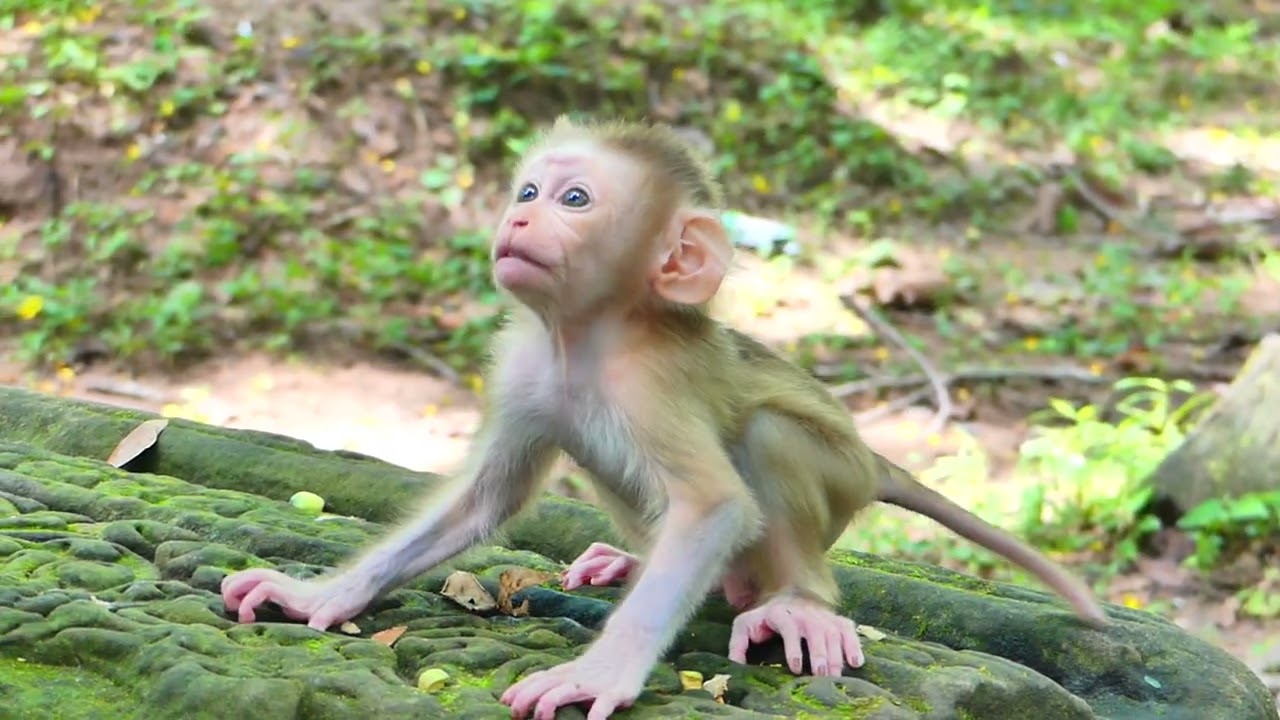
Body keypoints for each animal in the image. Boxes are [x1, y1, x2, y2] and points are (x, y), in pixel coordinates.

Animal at [221, 116, 1107, 720]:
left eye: (575, 200)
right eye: (528, 192)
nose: (518, 220)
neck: (587, 336)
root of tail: (872, 458)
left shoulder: (647, 388)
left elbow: (713, 505)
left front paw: (598, 674)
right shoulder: (526, 371)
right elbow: (485, 501)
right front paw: (319, 596)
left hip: (839, 473)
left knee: (768, 439)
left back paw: (798, 600)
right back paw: (637, 560)